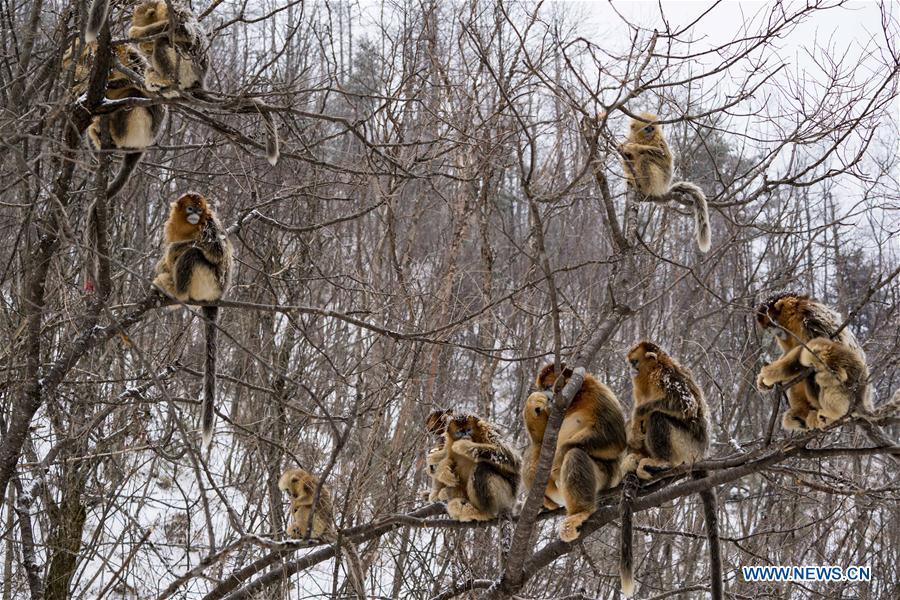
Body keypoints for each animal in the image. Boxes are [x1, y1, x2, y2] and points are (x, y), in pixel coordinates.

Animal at [280, 468, 368, 600]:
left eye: (287, 489)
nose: (290, 495)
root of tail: (328, 528)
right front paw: (293, 504)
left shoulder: (308, 484)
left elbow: (311, 498)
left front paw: (294, 504)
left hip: (318, 523)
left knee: (304, 509)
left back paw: (301, 530)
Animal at [520, 364, 624, 540]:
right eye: (543, 388)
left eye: (549, 386)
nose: (548, 395)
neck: (575, 401)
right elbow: (543, 438)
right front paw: (533, 402)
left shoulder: (599, 394)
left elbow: (616, 439)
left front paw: (559, 457)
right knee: (535, 449)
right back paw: (546, 503)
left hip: (604, 478)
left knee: (575, 455)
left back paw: (579, 513)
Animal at [620, 112, 712, 251]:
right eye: (647, 128)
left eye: (652, 128)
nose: (651, 131)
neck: (644, 140)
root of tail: (663, 189)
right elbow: (627, 161)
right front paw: (625, 150)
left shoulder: (659, 141)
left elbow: (662, 156)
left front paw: (633, 148)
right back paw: (633, 180)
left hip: (660, 180)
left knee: (645, 159)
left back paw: (643, 186)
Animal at [620, 342, 724, 600]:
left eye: (634, 362)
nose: (631, 370)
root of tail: (701, 454)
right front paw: (633, 432)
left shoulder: (667, 378)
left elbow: (685, 406)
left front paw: (641, 411)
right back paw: (636, 459)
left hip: (687, 447)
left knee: (658, 417)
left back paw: (661, 462)